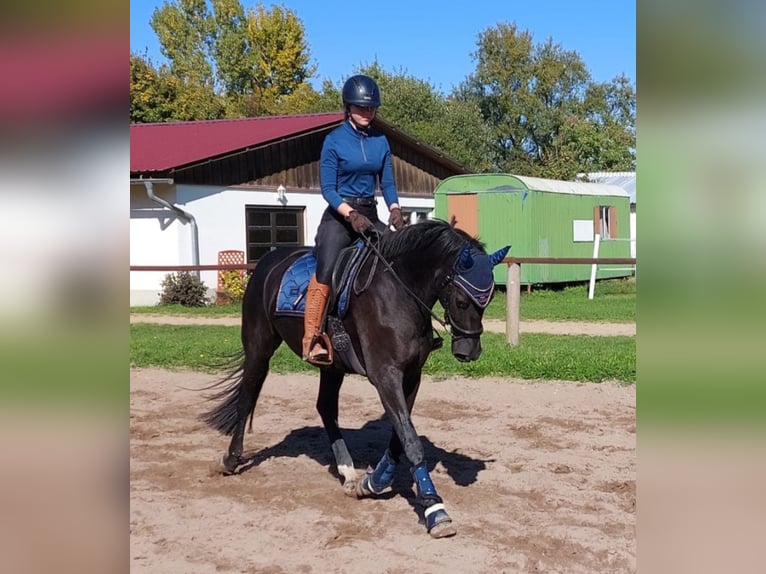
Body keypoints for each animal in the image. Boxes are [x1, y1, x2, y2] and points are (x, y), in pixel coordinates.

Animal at [201, 220, 510, 540]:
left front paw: (372, 482)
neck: (399, 291)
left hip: (331, 367)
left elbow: (400, 437)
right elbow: (410, 440)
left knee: (325, 407)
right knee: (247, 396)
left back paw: (347, 471)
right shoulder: (385, 375)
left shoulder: (412, 375)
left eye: (488, 300)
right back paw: (231, 459)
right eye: (461, 301)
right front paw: (434, 509)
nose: (469, 351)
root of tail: (268, 261)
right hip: (259, 347)